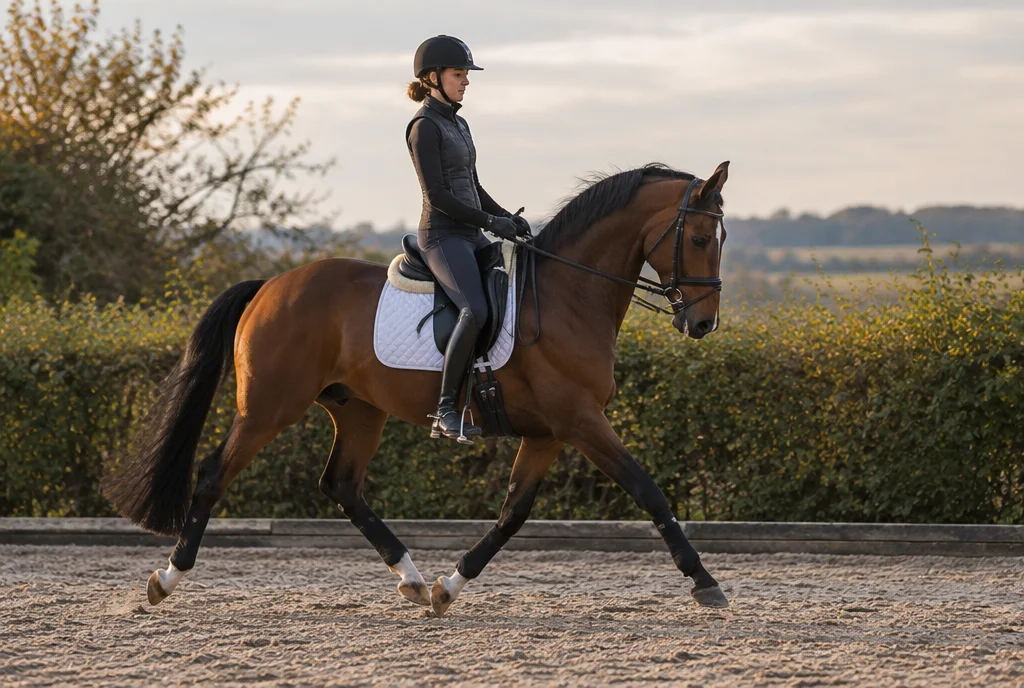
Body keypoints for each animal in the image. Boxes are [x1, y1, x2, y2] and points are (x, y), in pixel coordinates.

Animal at [103, 160, 732, 616]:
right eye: (701, 237)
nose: (703, 324)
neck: (567, 297)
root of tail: (270, 286)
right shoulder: (581, 421)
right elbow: (649, 492)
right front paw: (705, 583)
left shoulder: (550, 433)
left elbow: (513, 514)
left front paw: (448, 588)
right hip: (267, 408)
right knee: (215, 476)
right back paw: (166, 578)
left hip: (358, 410)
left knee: (342, 485)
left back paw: (411, 577)